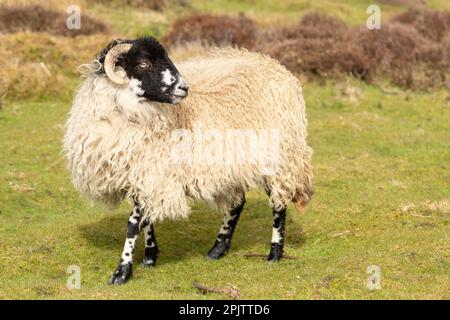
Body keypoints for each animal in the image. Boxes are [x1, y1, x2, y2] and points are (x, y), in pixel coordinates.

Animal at [63, 36, 312, 284]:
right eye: (144, 64)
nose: (184, 87)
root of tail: (277, 67)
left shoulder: (153, 171)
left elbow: (134, 223)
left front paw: (122, 271)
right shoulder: (140, 174)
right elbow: (146, 218)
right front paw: (150, 256)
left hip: (279, 155)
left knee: (278, 203)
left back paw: (274, 253)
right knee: (237, 203)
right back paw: (218, 249)